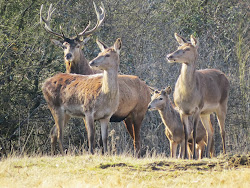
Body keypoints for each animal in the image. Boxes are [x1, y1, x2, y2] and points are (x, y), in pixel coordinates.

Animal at [40, 2, 150, 156]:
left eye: (78, 45)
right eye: (63, 46)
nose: (68, 55)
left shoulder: (101, 115)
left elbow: (100, 138)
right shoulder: (88, 113)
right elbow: (93, 137)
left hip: (138, 112)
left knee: (137, 140)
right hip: (60, 109)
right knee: (56, 133)